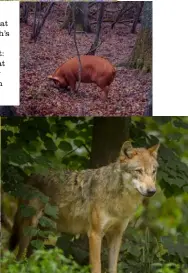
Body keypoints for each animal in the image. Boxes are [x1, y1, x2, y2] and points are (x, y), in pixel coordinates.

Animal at [8, 140, 159, 272]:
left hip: (43, 232)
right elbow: (97, 267)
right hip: (30, 229)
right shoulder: (95, 234)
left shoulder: (116, 235)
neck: (119, 201)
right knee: (19, 258)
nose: (152, 191)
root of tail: (30, 176)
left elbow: (113, 268)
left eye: (153, 172)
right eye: (138, 171)